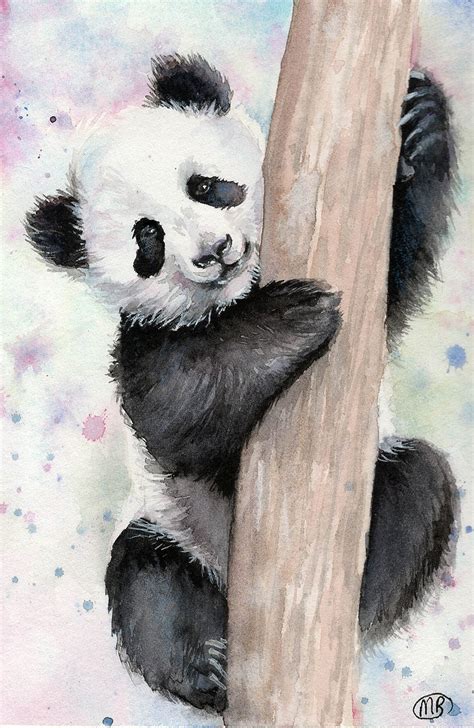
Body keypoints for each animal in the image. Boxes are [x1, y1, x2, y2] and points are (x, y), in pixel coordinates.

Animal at [26, 54, 456, 713]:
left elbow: (390, 276)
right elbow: (174, 411)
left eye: (204, 186)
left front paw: (423, 121)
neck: (233, 294)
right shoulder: (145, 337)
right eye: (147, 239)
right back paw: (203, 669)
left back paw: (358, 606)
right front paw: (292, 317)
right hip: (178, 530)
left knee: (417, 489)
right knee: (145, 577)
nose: (215, 250)